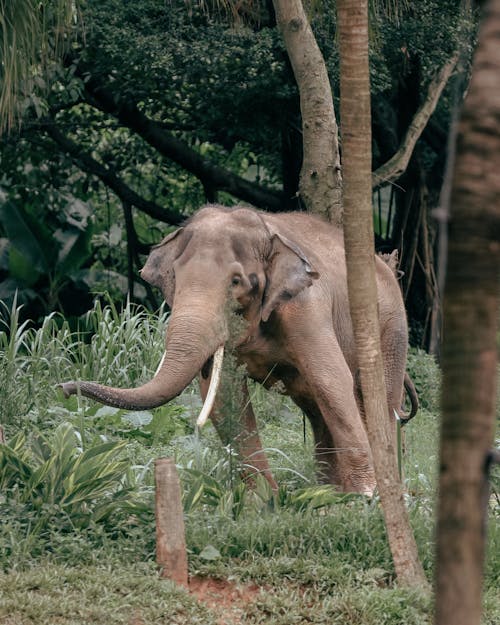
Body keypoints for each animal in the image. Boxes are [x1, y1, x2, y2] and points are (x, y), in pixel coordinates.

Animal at [60, 204, 416, 492]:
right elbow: (224, 396)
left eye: (236, 281)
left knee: (373, 400)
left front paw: (365, 498)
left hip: (391, 328)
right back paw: (329, 493)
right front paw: (266, 502)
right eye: (174, 278)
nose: (64, 387)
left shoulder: (307, 306)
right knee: (317, 409)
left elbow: (332, 380)